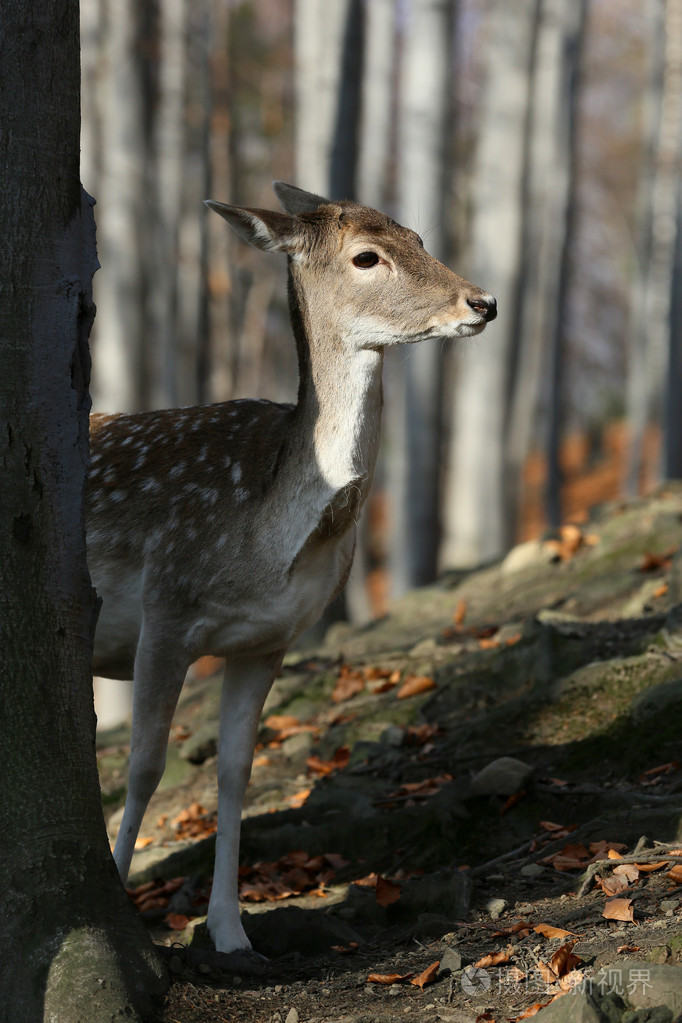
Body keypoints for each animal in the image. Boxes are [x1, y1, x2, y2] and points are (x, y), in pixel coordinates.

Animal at [87, 180, 498, 953]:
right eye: (367, 256)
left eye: (418, 236)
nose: (482, 301)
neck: (271, 539)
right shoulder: (167, 605)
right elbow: (145, 766)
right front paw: (122, 905)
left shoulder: (267, 639)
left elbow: (236, 773)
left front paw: (230, 932)